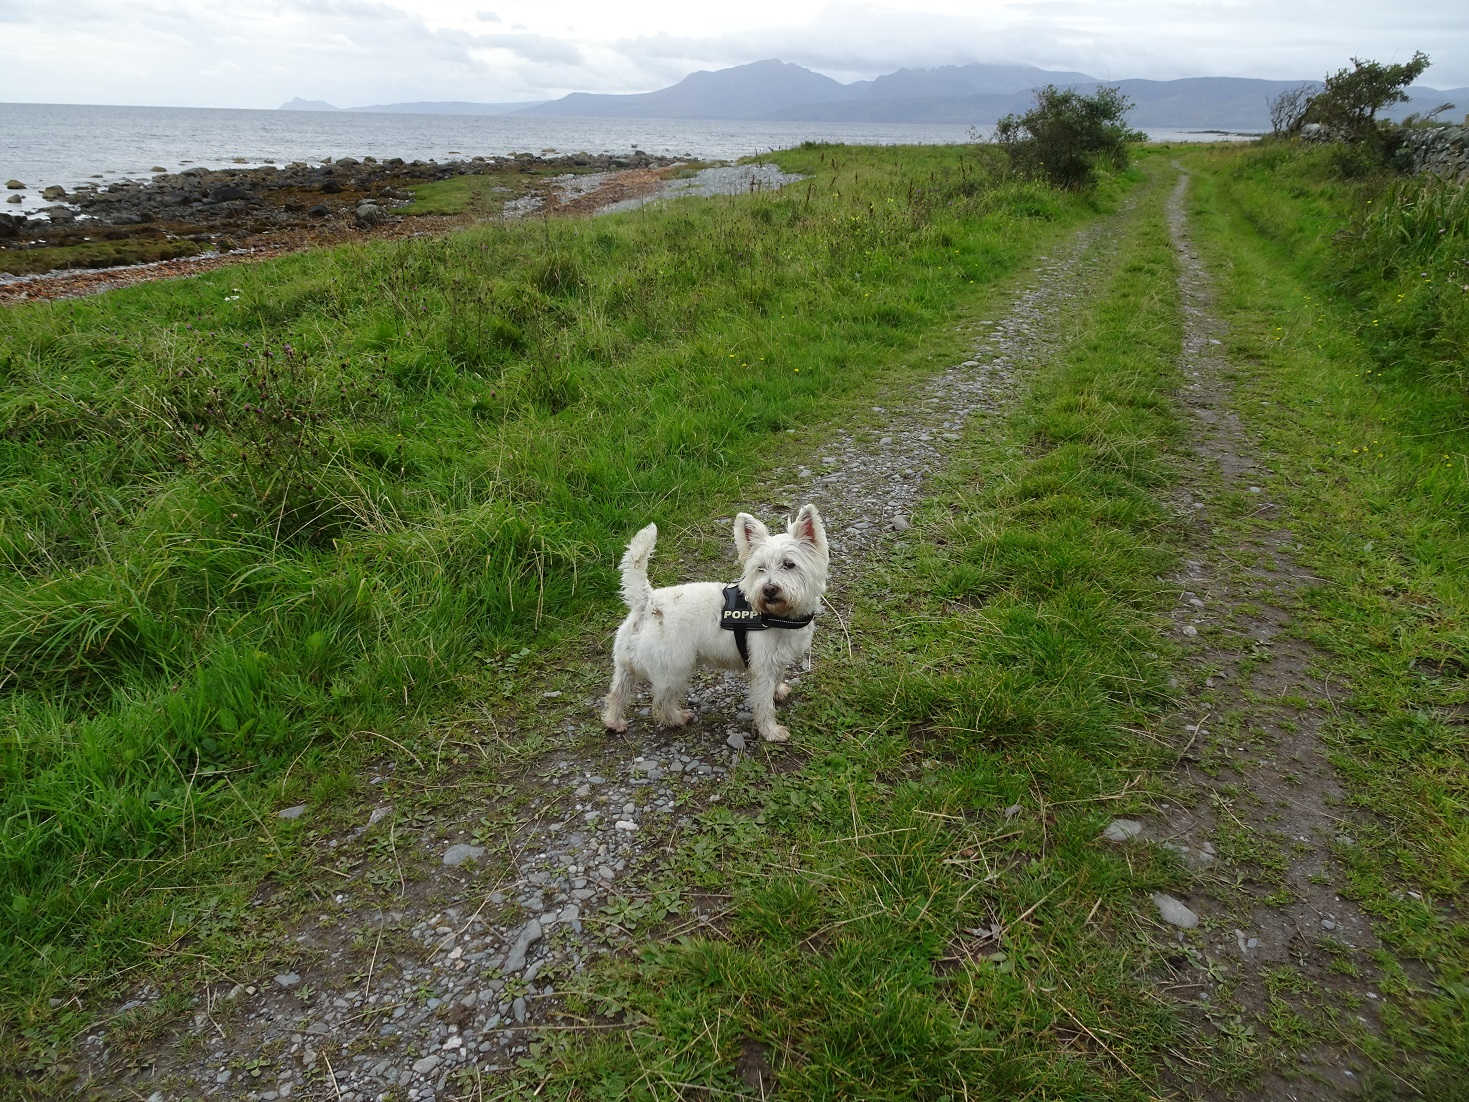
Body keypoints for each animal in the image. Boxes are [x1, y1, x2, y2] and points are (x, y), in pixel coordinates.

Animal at [596, 505, 828, 746]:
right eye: (760, 568)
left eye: (789, 564)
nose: (769, 589)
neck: (778, 615)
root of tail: (647, 602)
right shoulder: (762, 666)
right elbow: (764, 703)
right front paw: (771, 731)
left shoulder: (777, 659)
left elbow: (777, 679)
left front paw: (779, 691)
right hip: (675, 669)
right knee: (660, 703)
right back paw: (678, 718)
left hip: (626, 664)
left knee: (617, 693)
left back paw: (614, 722)